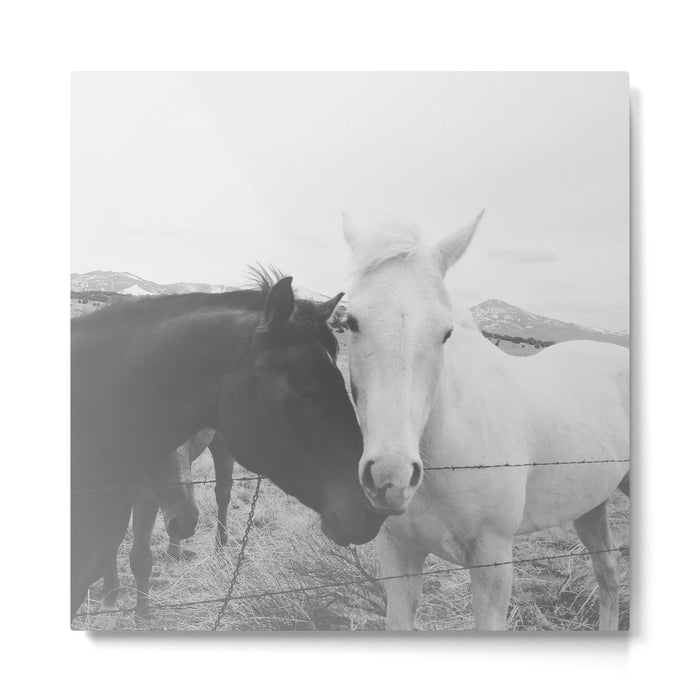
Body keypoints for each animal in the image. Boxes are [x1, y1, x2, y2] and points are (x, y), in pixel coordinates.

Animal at [71, 268, 385, 618]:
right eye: (305, 389)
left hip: (221, 450)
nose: (373, 504)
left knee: (222, 493)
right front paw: (111, 594)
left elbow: (139, 556)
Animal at [341, 213, 629, 631]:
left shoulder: (493, 562)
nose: (390, 477)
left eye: (445, 332)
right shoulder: (399, 554)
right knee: (607, 568)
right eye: (350, 322)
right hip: (590, 506)